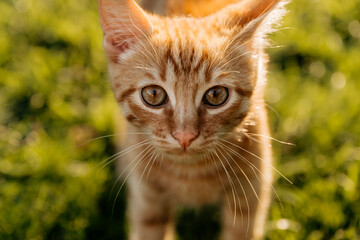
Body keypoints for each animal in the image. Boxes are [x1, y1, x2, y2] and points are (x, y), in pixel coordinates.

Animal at [97, 0, 286, 239]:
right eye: (153, 95)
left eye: (216, 95)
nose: (185, 136)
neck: (192, 173)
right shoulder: (147, 200)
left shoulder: (250, 194)